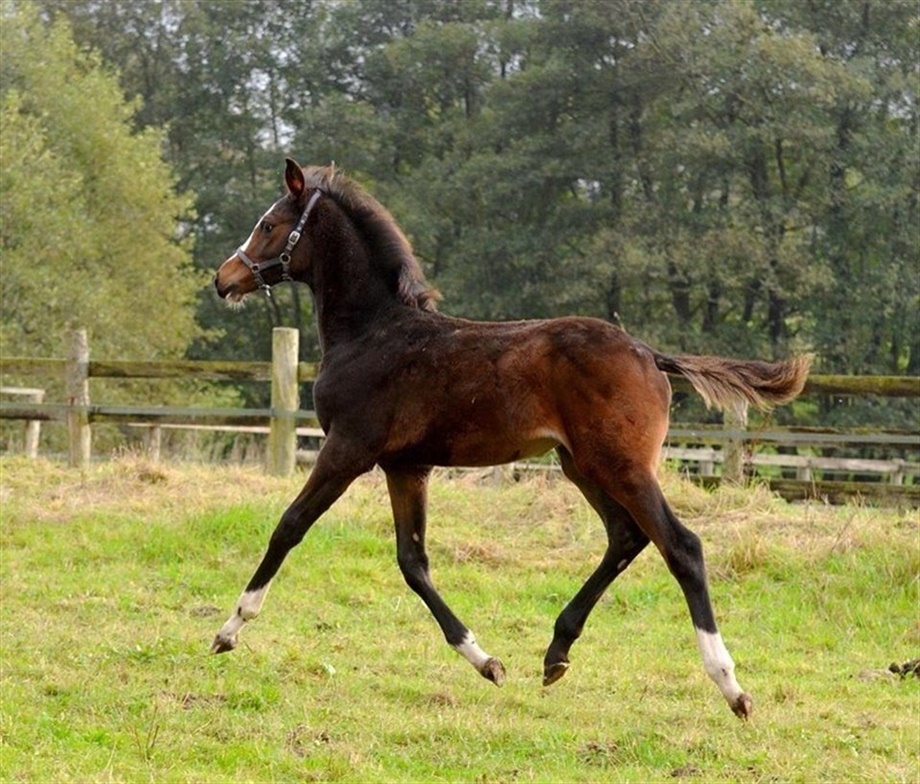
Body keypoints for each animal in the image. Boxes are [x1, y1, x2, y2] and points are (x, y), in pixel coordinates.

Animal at [213, 158, 810, 719]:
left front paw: (230, 629)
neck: (372, 331)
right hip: (582, 464)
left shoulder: (348, 450)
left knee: (681, 545)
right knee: (625, 537)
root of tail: (650, 354)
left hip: (622, 465)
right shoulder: (406, 466)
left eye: (268, 225)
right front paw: (486, 661)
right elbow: (413, 561)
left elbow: (289, 526)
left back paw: (730, 685)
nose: (223, 278)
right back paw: (556, 653)